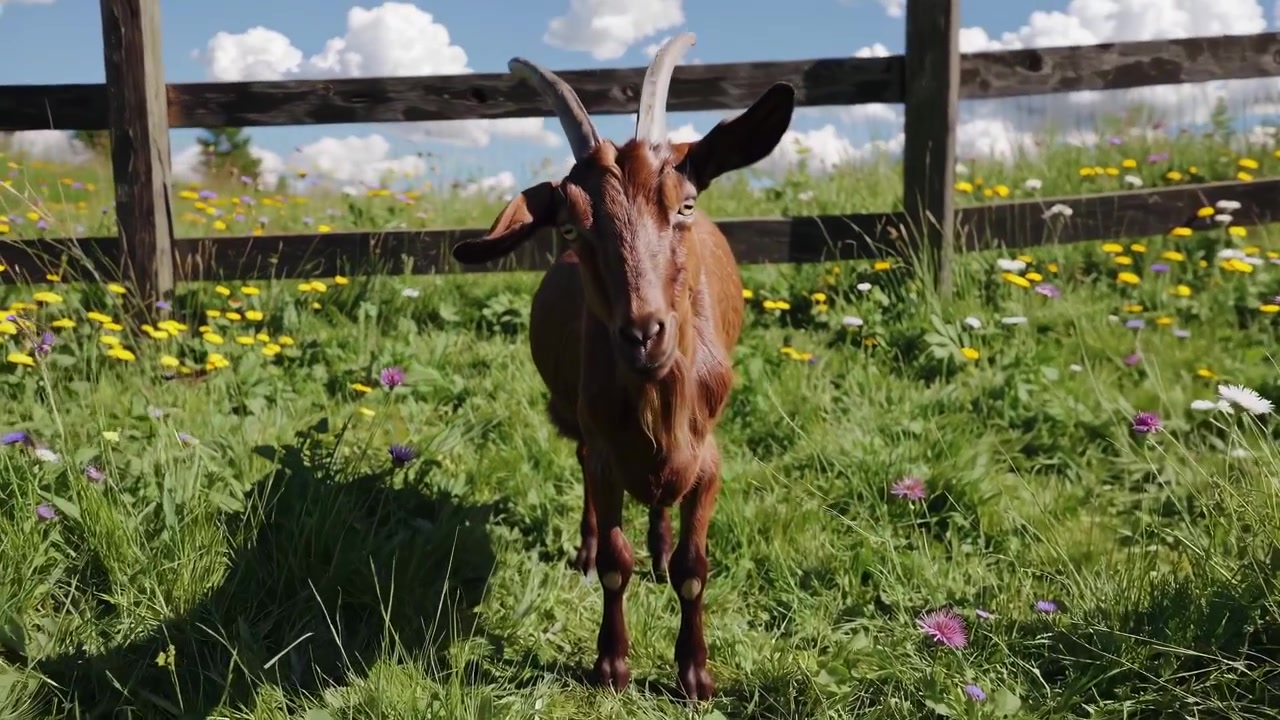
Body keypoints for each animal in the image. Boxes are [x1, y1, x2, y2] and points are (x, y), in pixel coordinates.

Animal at [450, 33, 795, 701]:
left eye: (685, 205)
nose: (643, 334)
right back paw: (586, 554)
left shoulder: (709, 458)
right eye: (569, 227)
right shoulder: (607, 451)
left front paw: (695, 674)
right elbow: (616, 561)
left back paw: (659, 546)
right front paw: (611, 665)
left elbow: (693, 567)